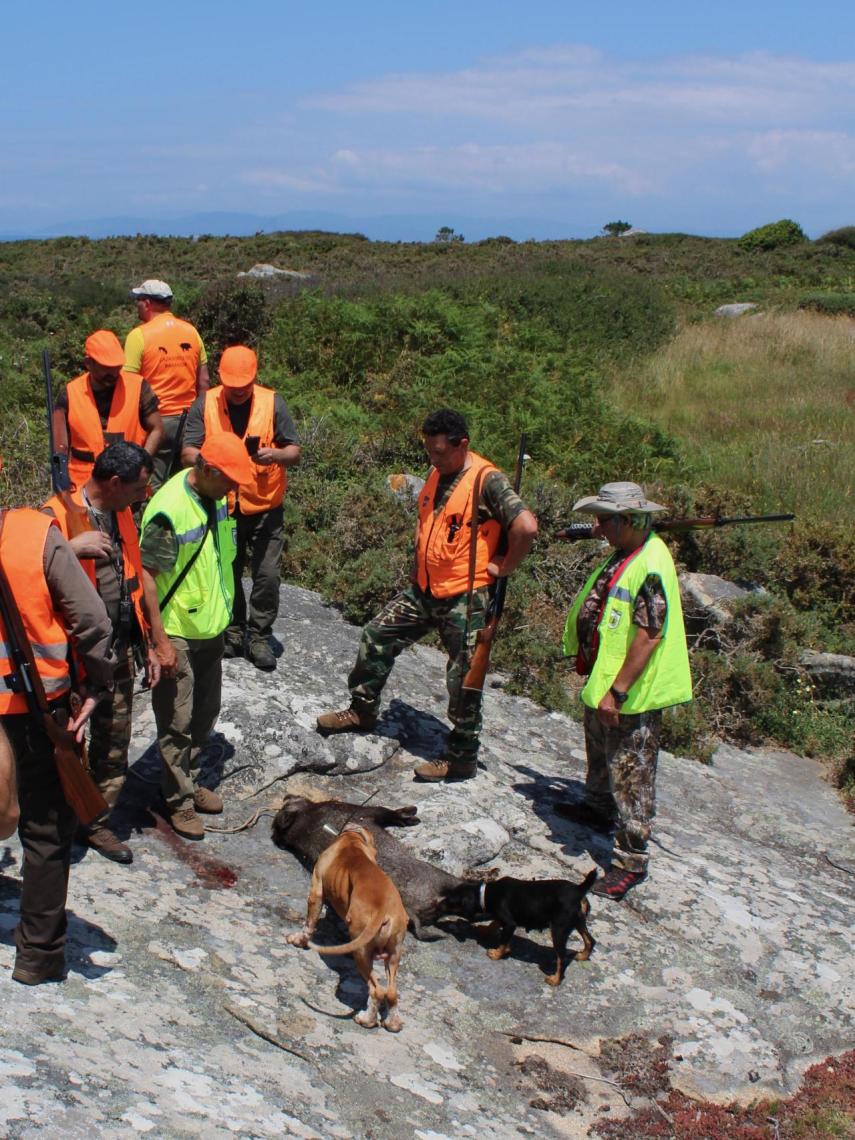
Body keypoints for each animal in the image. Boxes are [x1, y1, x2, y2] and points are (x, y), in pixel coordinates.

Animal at [286, 825, 410, 1030]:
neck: (352, 841)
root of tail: (382, 911)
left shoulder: (316, 889)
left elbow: (309, 923)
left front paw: (299, 940)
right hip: (394, 953)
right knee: (391, 992)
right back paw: (393, 1023)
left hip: (362, 952)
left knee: (376, 990)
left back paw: (366, 1020)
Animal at [442, 866, 597, 984]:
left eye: (451, 902)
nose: (439, 903)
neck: (485, 894)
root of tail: (579, 890)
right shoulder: (502, 918)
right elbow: (494, 924)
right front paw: (484, 930)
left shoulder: (510, 923)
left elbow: (503, 939)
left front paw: (497, 954)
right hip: (578, 922)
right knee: (590, 940)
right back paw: (582, 956)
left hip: (559, 929)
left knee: (562, 958)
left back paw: (555, 980)